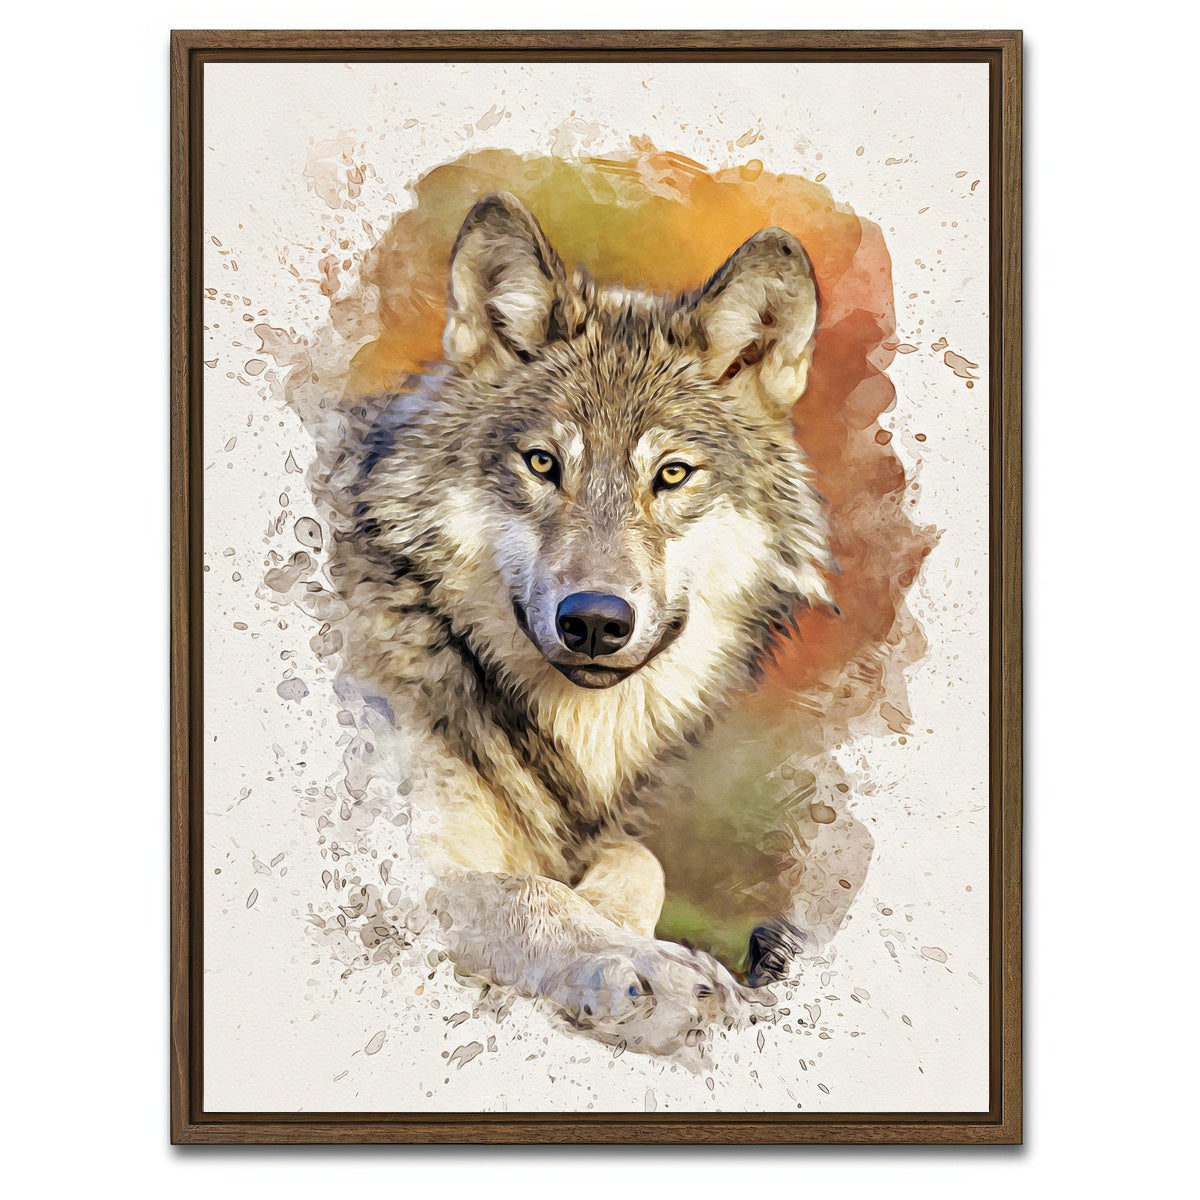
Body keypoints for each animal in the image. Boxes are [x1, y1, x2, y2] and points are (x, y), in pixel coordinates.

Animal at [315, 193, 836, 1053]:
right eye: (542, 464)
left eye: (671, 474)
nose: (594, 622)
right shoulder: (382, 859)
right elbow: (530, 894)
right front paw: (647, 969)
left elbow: (636, 861)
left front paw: (627, 929)